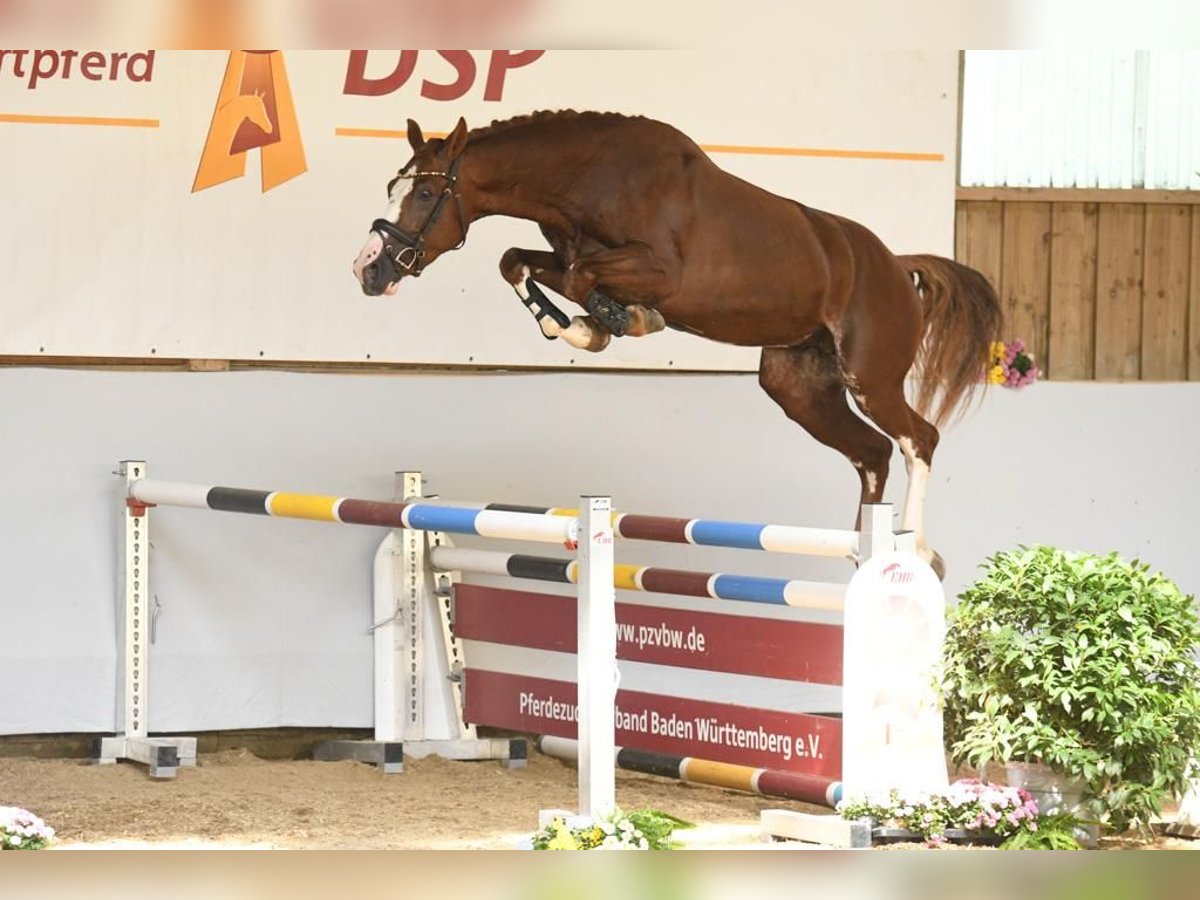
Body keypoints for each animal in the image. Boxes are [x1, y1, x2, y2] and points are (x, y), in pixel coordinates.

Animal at [352, 112, 1003, 578]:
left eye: (423, 196)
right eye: (389, 186)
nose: (368, 270)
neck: (588, 180)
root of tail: (896, 264)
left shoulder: (659, 271)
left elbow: (584, 277)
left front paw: (613, 321)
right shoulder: (562, 254)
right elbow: (519, 262)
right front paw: (585, 325)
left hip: (870, 376)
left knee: (918, 439)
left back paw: (914, 550)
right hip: (798, 388)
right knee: (872, 452)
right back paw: (861, 547)